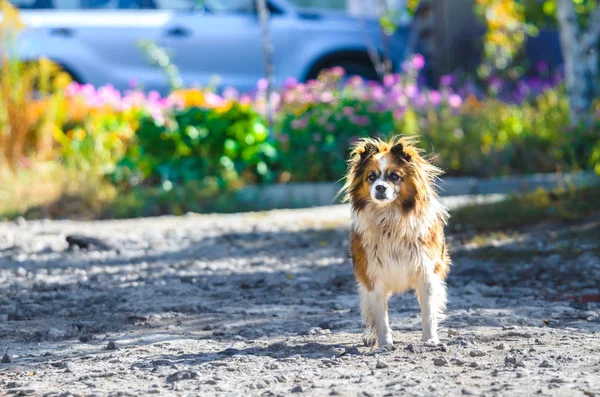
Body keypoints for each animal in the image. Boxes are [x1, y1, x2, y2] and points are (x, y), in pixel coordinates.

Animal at [340, 137, 448, 350]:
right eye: (371, 177)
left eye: (394, 176)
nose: (380, 187)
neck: (389, 218)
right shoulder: (373, 276)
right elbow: (381, 317)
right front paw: (384, 344)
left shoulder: (426, 273)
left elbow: (428, 312)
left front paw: (430, 339)